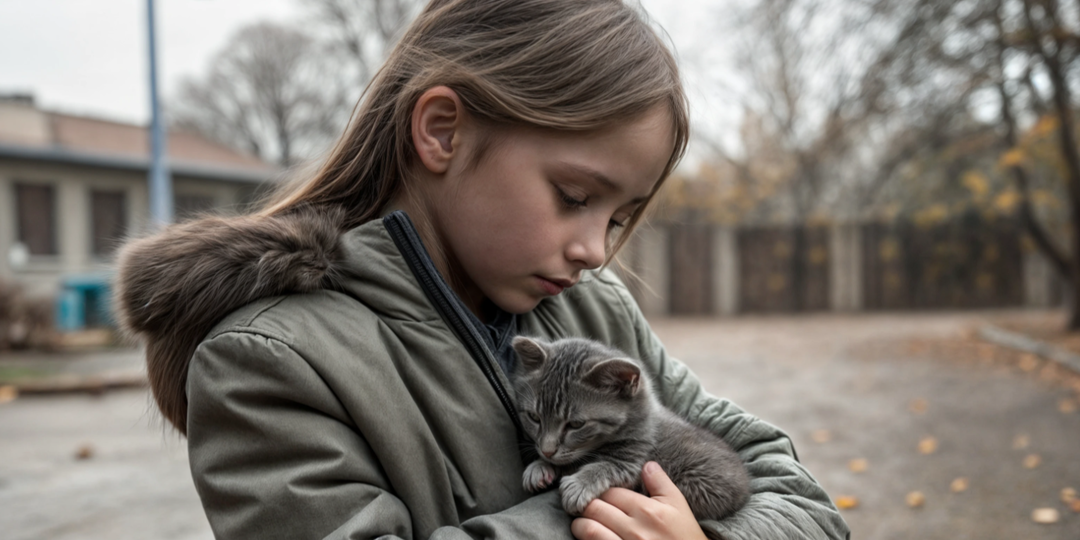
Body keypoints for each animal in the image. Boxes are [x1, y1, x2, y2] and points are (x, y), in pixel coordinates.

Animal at [511, 336, 751, 518]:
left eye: (576, 424)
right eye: (534, 417)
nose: (547, 451)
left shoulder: (634, 460)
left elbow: (605, 465)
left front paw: (579, 484)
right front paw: (539, 466)